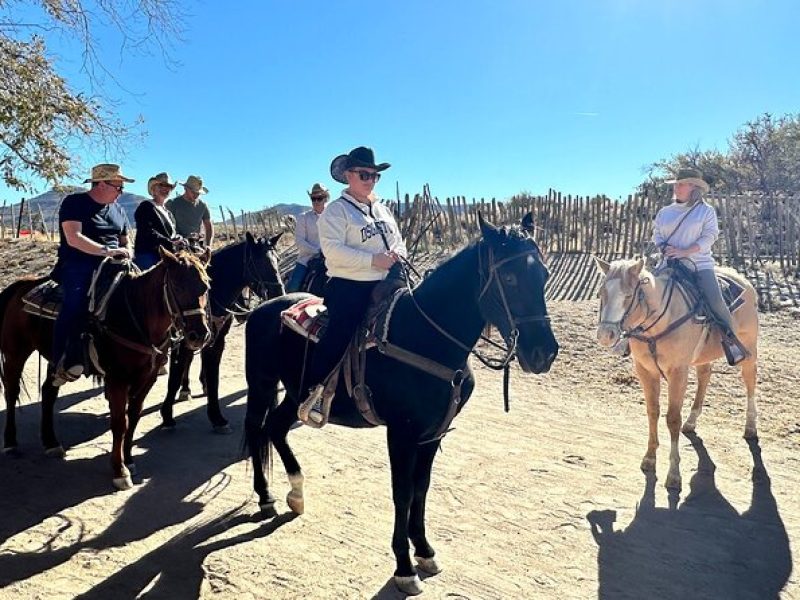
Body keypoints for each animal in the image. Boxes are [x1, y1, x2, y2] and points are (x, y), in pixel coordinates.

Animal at [0, 247, 211, 488]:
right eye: (176, 285)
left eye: (205, 286)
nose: (199, 335)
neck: (136, 315)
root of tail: (22, 285)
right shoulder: (117, 379)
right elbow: (120, 422)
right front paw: (119, 470)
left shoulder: (147, 378)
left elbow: (134, 417)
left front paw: (129, 460)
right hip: (15, 352)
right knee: (11, 392)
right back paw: (10, 442)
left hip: (54, 359)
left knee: (48, 392)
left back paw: (51, 442)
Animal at [159, 232, 284, 434]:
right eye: (258, 262)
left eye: (277, 259)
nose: (279, 293)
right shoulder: (181, 340)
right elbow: (174, 376)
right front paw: (167, 416)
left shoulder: (216, 340)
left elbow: (213, 377)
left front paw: (217, 417)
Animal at [242, 216, 556, 596]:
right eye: (509, 278)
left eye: (543, 273)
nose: (544, 353)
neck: (425, 337)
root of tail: (263, 309)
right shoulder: (402, 434)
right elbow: (403, 493)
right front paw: (404, 568)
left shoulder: (432, 434)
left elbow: (421, 488)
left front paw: (424, 551)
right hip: (261, 385)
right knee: (256, 428)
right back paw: (265, 496)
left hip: (294, 392)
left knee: (275, 427)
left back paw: (297, 493)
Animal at [596, 255, 760, 490]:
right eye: (602, 293)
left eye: (628, 295)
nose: (605, 335)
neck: (660, 323)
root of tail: (744, 281)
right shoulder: (645, 371)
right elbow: (652, 412)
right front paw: (649, 458)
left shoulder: (678, 373)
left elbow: (672, 419)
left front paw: (674, 474)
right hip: (704, 356)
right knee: (704, 375)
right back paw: (691, 422)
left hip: (749, 348)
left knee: (750, 379)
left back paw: (750, 427)